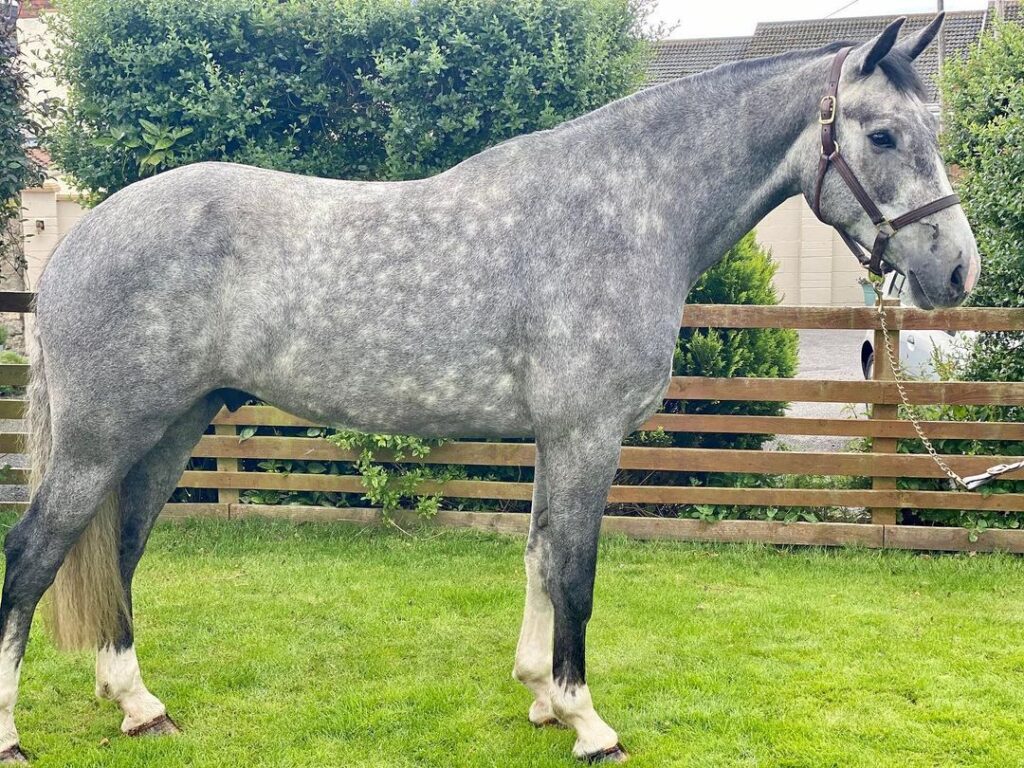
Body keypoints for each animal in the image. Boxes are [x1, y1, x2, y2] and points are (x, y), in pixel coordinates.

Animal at [0, 13, 979, 763]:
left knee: (118, 555)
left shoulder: (558, 438)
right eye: (883, 134)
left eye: (931, 129)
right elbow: (575, 570)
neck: (624, 212)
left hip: (168, 431)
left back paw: (138, 705)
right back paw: (14, 733)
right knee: (32, 558)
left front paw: (541, 696)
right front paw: (588, 723)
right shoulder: (587, 435)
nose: (959, 271)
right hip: (99, 440)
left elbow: (540, 555)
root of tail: (80, 240)